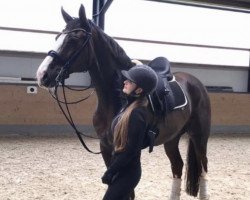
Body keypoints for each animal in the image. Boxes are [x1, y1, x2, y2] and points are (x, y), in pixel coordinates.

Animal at [35, 4, 211, 200]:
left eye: (74, 38)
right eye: (57, 37)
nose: (42, 74)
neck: (117, 99)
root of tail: (195, 82)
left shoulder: (129, 150)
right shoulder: (106, 147)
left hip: (199, 136)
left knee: (203, 168)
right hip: (172, 138)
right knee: (177, 166)